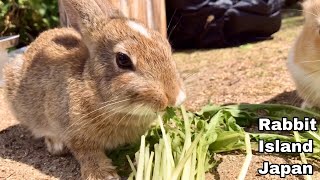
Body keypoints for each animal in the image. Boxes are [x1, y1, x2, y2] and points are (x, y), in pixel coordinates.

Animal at [3, 0, 185, 179]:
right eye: (122, 59)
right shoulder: (75, 134)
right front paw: (103, 175)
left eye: (166, 45)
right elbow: (88, 153)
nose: (173, 97)